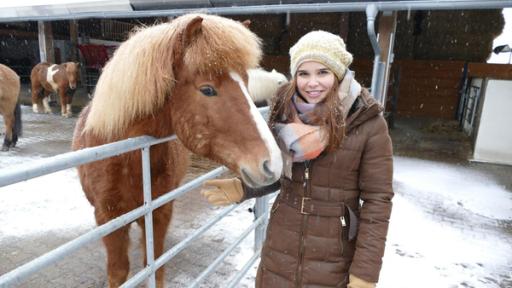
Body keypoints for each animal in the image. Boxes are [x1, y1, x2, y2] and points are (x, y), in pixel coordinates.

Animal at [71, 13, 282, 288]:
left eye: (247, 83)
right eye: (207, 89)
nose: (273, 163)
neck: (126, 159)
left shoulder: (159, 211)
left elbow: (155, 265)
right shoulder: (109, 218)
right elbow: (118, 272)